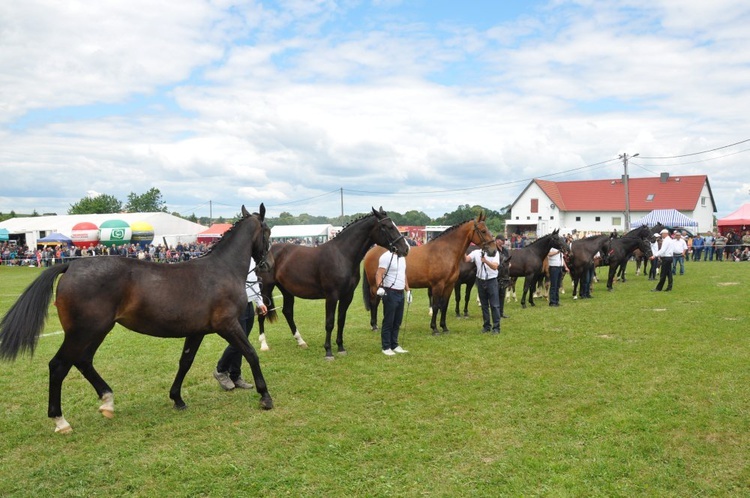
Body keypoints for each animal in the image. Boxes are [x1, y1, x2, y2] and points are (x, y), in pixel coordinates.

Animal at [0, 204, 274, 434]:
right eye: (268, 232)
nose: (268, 264)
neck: (222, 270)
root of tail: (71, 266)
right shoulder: (227, 325)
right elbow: (251, 353)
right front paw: (265, 396)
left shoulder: (196, 331)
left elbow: (185, 362)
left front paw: (177, 398)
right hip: (83, 332)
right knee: (58, 366)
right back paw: (61, 420)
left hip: (97, 331)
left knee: (83, 361)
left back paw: (107, 402)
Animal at [258, 208, 412, 360]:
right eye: (388, 226)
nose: (405, 249)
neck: (342, 255)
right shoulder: (331, 296)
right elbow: (330, 322)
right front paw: (328, 351)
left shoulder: (347, 296)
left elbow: (341, 320)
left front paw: (341, 347)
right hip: (265, 289)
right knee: (261, 312)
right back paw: (264, 345)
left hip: (287, 290)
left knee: (288, 312)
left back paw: (301, 341)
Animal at [364, 213, 500, 334]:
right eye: (483, 231)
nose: (493, 251)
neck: (445, 252)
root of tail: (371, 252)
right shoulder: (437, 285)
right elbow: (435, 306)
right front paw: (434, 328)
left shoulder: (449, 285)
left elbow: (444, 305)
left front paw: (444, 327)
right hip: (376, 285)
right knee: (374, 302)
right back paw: (374, 326)